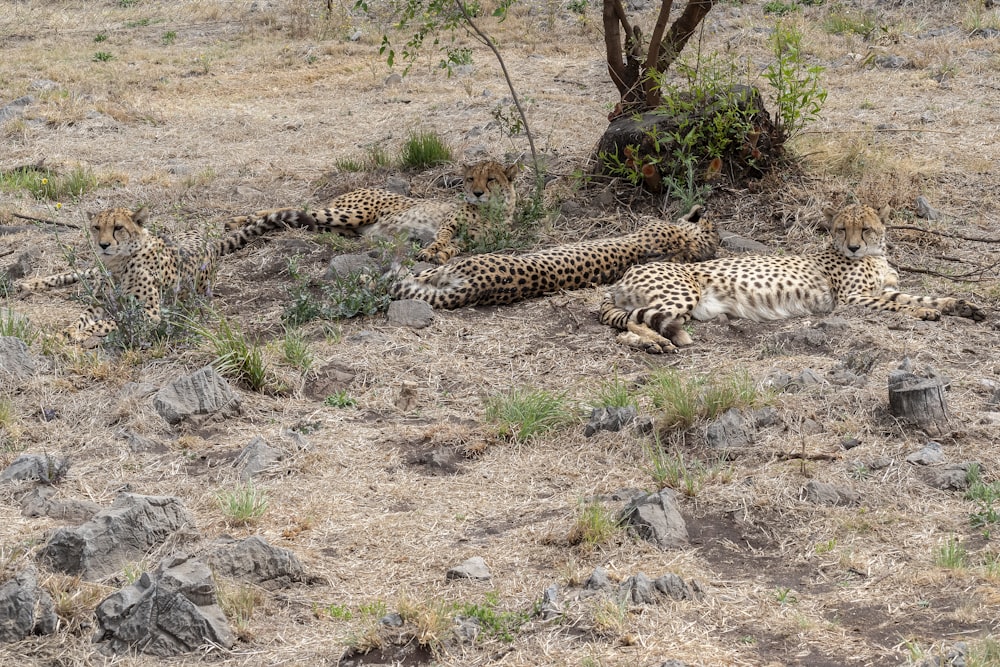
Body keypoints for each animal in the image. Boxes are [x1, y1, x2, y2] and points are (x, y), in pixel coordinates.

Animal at [16, 206, 304, 344]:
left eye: (118, 228)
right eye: (97, 227)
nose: (103, 245)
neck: (118, 264)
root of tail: (207, 241)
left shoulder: (149, 313)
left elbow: (106, 323)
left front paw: (80, 334)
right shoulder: (101, 302)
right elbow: (81, 318)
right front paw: (66, 330)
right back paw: (28, 284)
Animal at [227, 160, 520, 264]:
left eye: (490, 179)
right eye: (471, 179)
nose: (477, 193)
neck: (489, 211)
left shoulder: (470, 241)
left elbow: (452, 249)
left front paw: (438, 256)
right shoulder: (448, 224)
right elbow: (441, 238)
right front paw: (430, 250)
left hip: (337, 226)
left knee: (299, 216)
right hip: (351, 213)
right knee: (297, 207)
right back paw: (239, 220)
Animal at [596, 202, 988, 354]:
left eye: (865, 228)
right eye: (842, 229)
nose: (854, 247)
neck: (876, 256)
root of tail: (626, 274)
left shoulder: (884, 287)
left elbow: (917, 296)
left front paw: (961, 306)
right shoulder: (853, 299)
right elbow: (899, 303)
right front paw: (925, 313)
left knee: (629, 322)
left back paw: (654, 341)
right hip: (680, 295)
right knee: (628, 327)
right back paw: (655, 343)